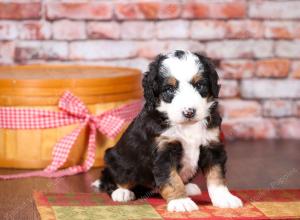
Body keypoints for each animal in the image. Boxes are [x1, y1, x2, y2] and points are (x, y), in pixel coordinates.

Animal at [95, 49, 243, 211]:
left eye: (199, 85)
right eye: (169, 89)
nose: (189, 112)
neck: (187, 126)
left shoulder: (212, 145)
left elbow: (216, 176)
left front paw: (225, 198)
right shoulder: (163, 151)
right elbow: (172, 179)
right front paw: (181, 201)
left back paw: (189, 187)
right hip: (115, 158)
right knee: (114, 178)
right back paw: (121, 192)